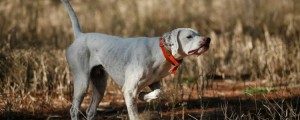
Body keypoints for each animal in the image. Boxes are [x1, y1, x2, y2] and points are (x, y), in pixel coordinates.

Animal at [61, 0, 211, 119]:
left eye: (198, 34)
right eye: (189, 37)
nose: (208, 39)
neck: (159, 52)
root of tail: (80, 36)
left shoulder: (154, 83)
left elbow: (158, 92)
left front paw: (143, 96)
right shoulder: (129, 90)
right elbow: (134, 114)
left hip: (100, 85)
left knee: (90, 111)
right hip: (82, 82)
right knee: (73, 110)